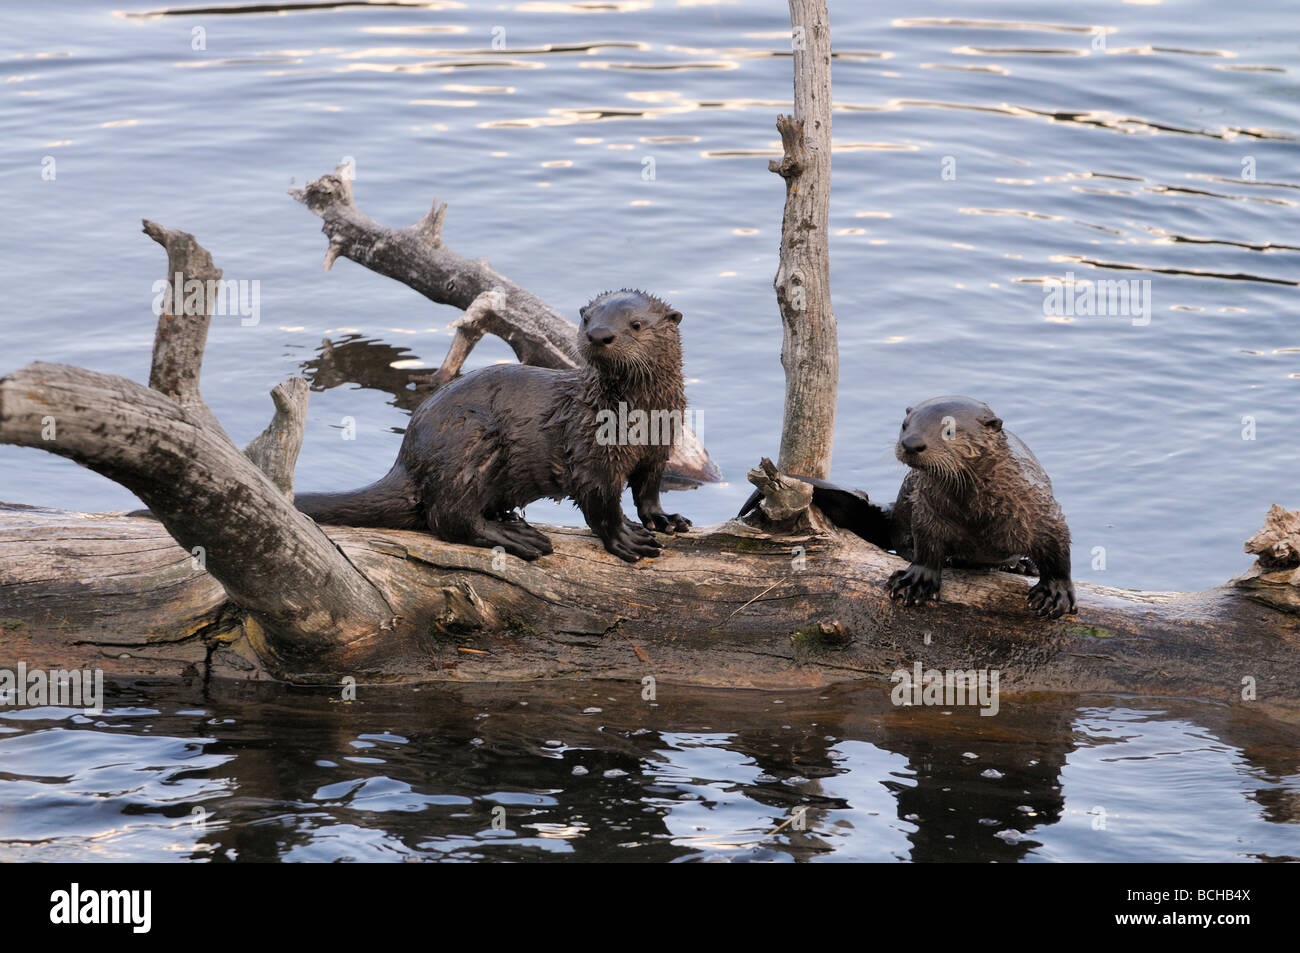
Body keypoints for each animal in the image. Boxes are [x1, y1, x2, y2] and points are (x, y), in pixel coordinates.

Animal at [296, 286, 696, 561]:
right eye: (586, 319)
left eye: (636, 324)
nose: (599, 334)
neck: (639, 416)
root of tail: (407, 460)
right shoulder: (590, 452)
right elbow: (601, 503)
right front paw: (624, 538)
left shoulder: (659, 448)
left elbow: (648, 490)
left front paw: (665, 519)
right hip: (469, 443)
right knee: (448, 517)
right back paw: (515, 536)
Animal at [883, 395, 1076, 616]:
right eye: (904, 425)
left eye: (949, 431)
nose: (911, 443)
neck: (977, 515)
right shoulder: (927, 511)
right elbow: (926, 546)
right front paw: (916, 581)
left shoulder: (1039, 508)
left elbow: (1057, 548)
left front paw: (1054, 592)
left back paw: (1023, 566)